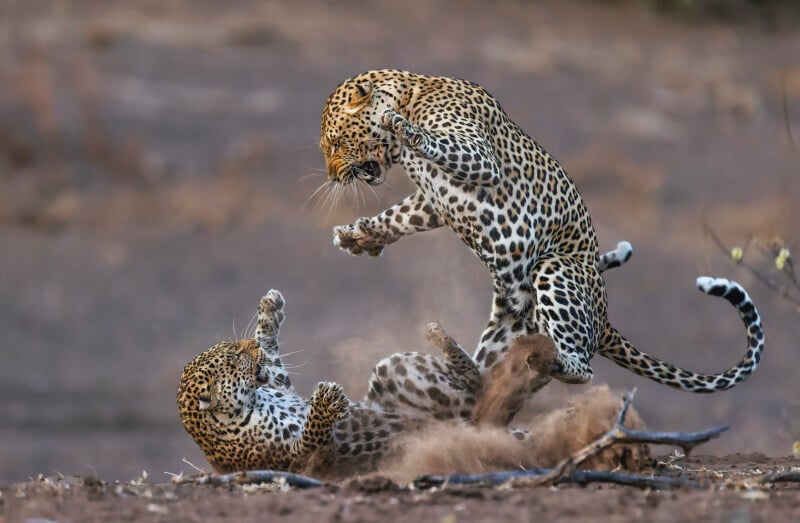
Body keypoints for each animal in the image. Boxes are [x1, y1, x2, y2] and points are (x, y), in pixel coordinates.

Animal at [318, 68, 764, 398]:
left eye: (336, 144)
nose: (334, 177)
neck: (413, 91)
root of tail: (604, 322)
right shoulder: (432, 200)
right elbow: (400, 216)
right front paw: (359, 236)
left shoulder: (477, 158)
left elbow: (428, 141)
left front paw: (400, 125)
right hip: (507, 325)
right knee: (486, 380)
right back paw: (454, 353)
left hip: (553, 268)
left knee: (583, 370)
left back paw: (550, 361)